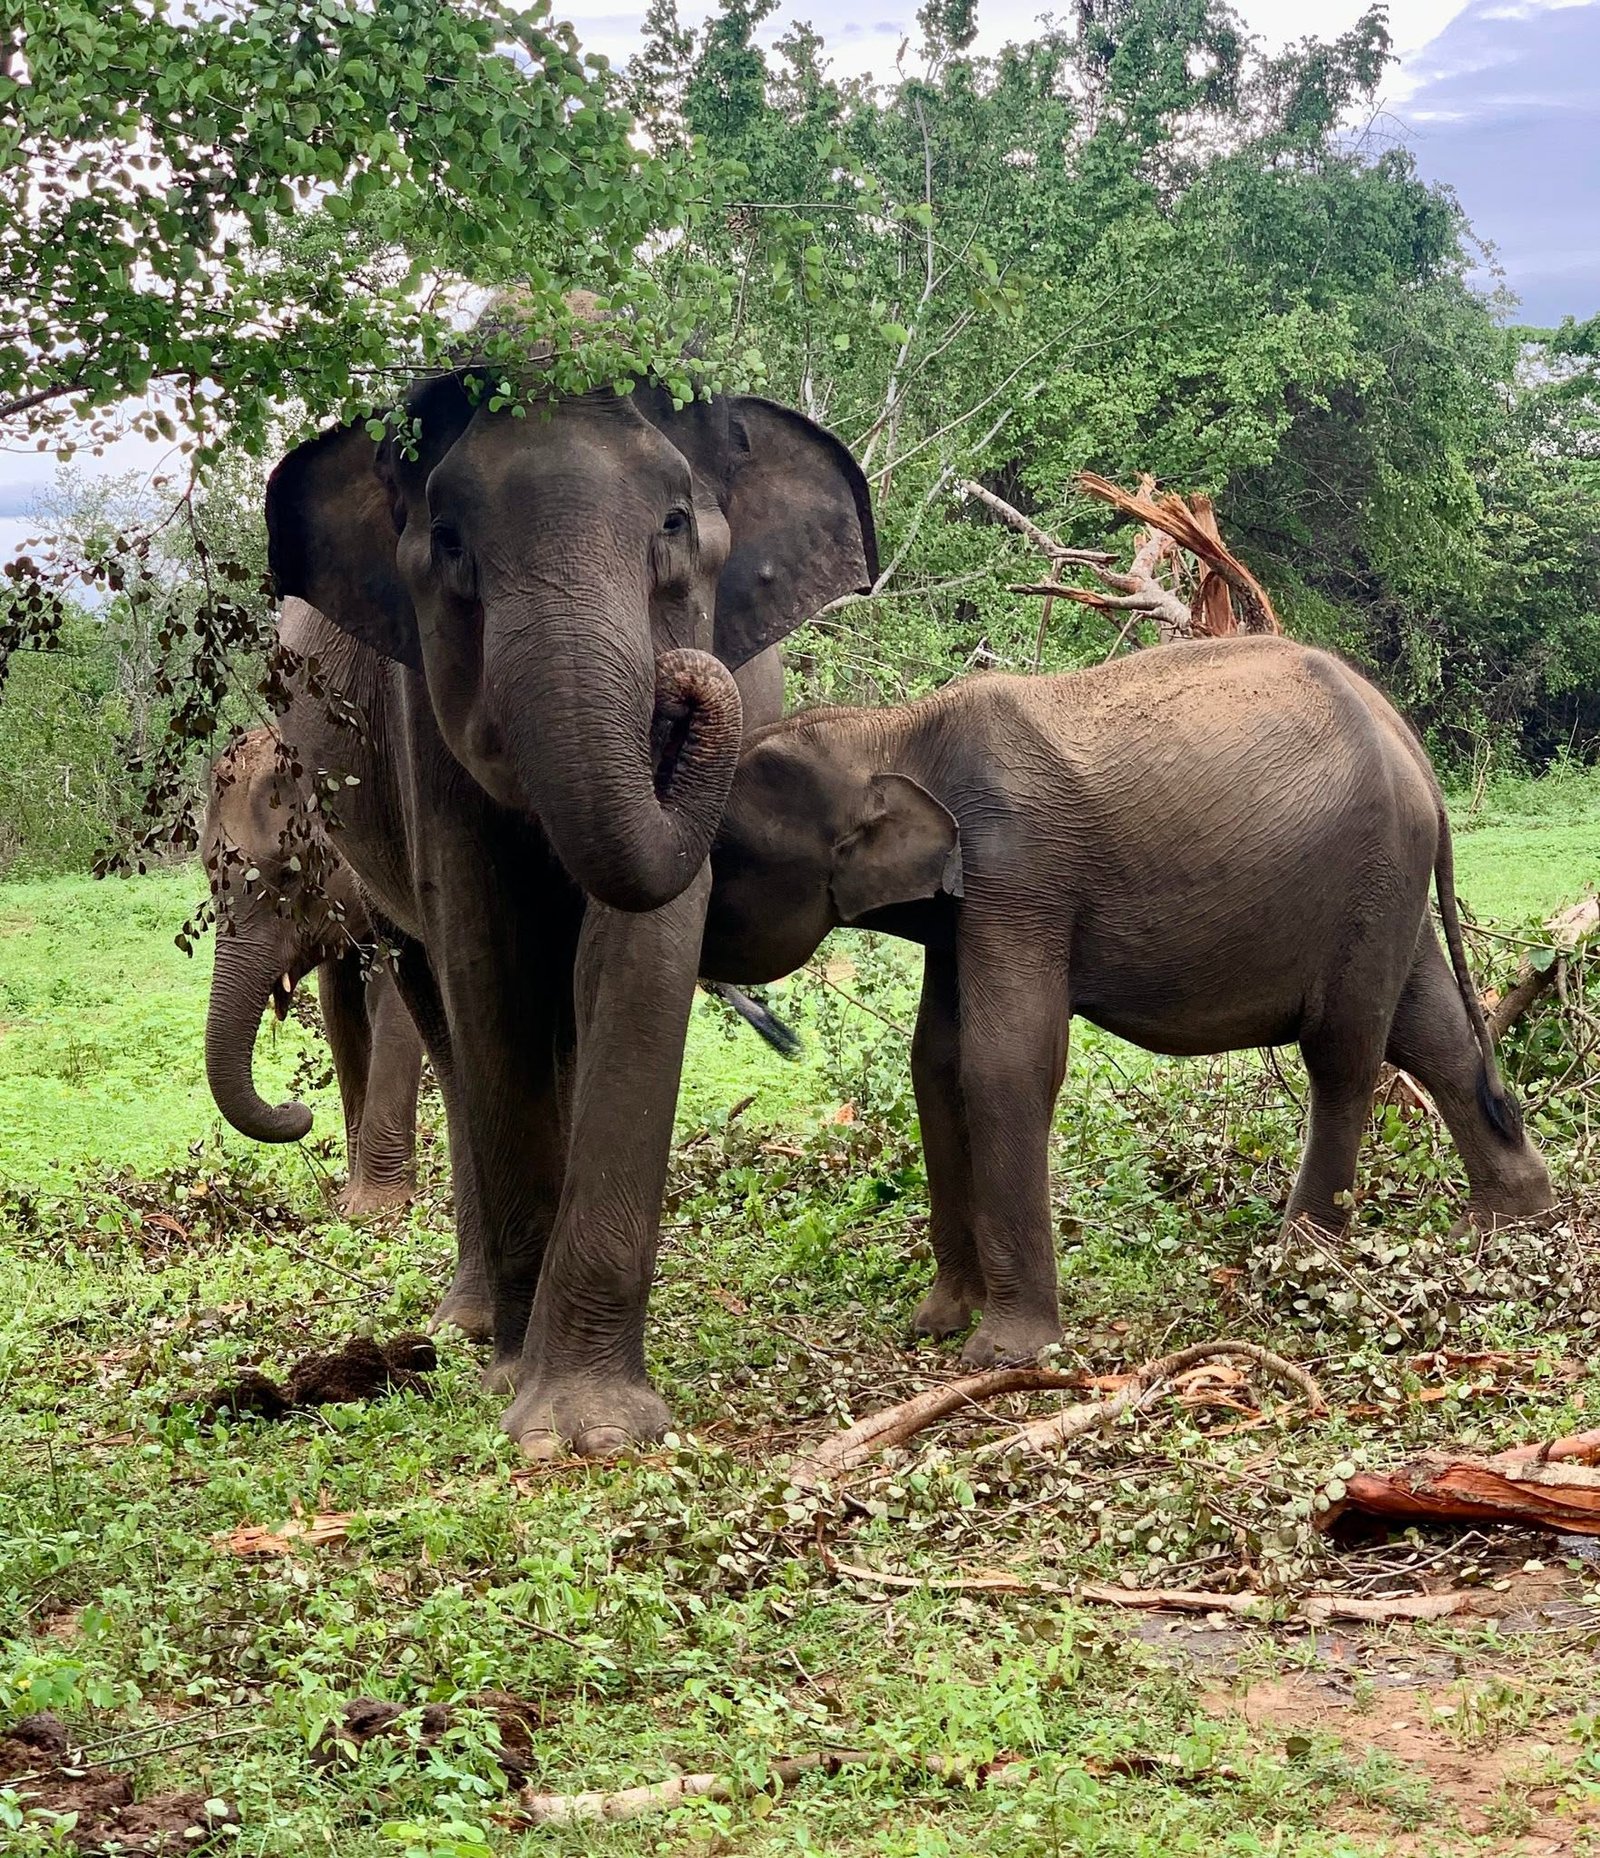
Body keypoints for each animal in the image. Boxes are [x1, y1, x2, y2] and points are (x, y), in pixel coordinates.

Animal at [202, 726, 424, 1216]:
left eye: (290, 873)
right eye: (208, 871)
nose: (296, 1108)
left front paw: (373, 1210)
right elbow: (339, 1011)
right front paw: (346, 1201)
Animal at [263, 338, 875, 1455]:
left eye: (672, 523)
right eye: (448, 541)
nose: (685, 682)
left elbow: (638, 941)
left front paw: (591, 1429)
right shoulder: (422, 721)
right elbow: (483, 938)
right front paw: (528, 1391)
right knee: (442, 1015)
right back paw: (469, 1324)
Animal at [700, 635, 1556, 1367]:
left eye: (723, 856)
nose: (775, 1032)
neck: (891, 731)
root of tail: (1406, 736)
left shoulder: (1019, 875)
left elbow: (1005, 1063)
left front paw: (1002, 1355)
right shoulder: (959, 912)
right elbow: (935, 1064)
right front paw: (935, 1325)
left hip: (1371, 874)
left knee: (1342, 1052)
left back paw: (1299, 1262)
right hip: (1387, 885)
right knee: (1430, 1030)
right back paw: (1509, 1223)